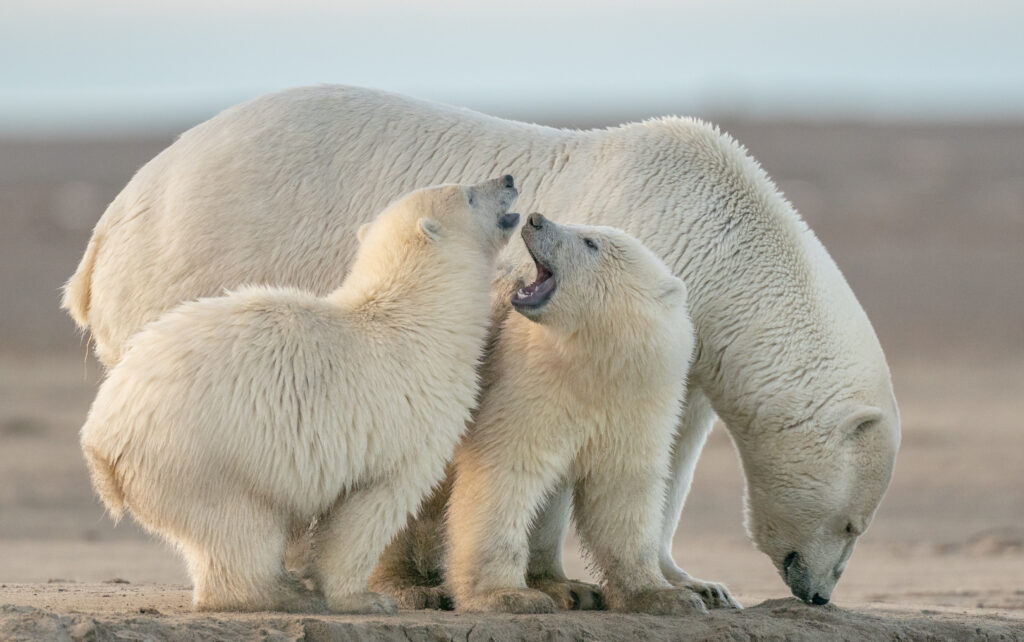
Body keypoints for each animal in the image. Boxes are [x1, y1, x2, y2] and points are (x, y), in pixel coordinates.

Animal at [77, 177, 520, 614]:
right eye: (468, 193)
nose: (508, 180)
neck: (419, 317)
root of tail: (101, 436)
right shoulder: (407, 412)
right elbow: (369, 508)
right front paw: (364, 598)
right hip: (203, 455)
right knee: (241, 524)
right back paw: (279, 592)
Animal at [448, 215, 704, 618]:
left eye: (590, 242)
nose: (535, 219)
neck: (594, 365)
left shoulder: (637, 404)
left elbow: (623, 493)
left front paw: (664, 595)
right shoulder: (528, 389)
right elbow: (504, 475)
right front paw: (506, 595)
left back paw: (568, 588)